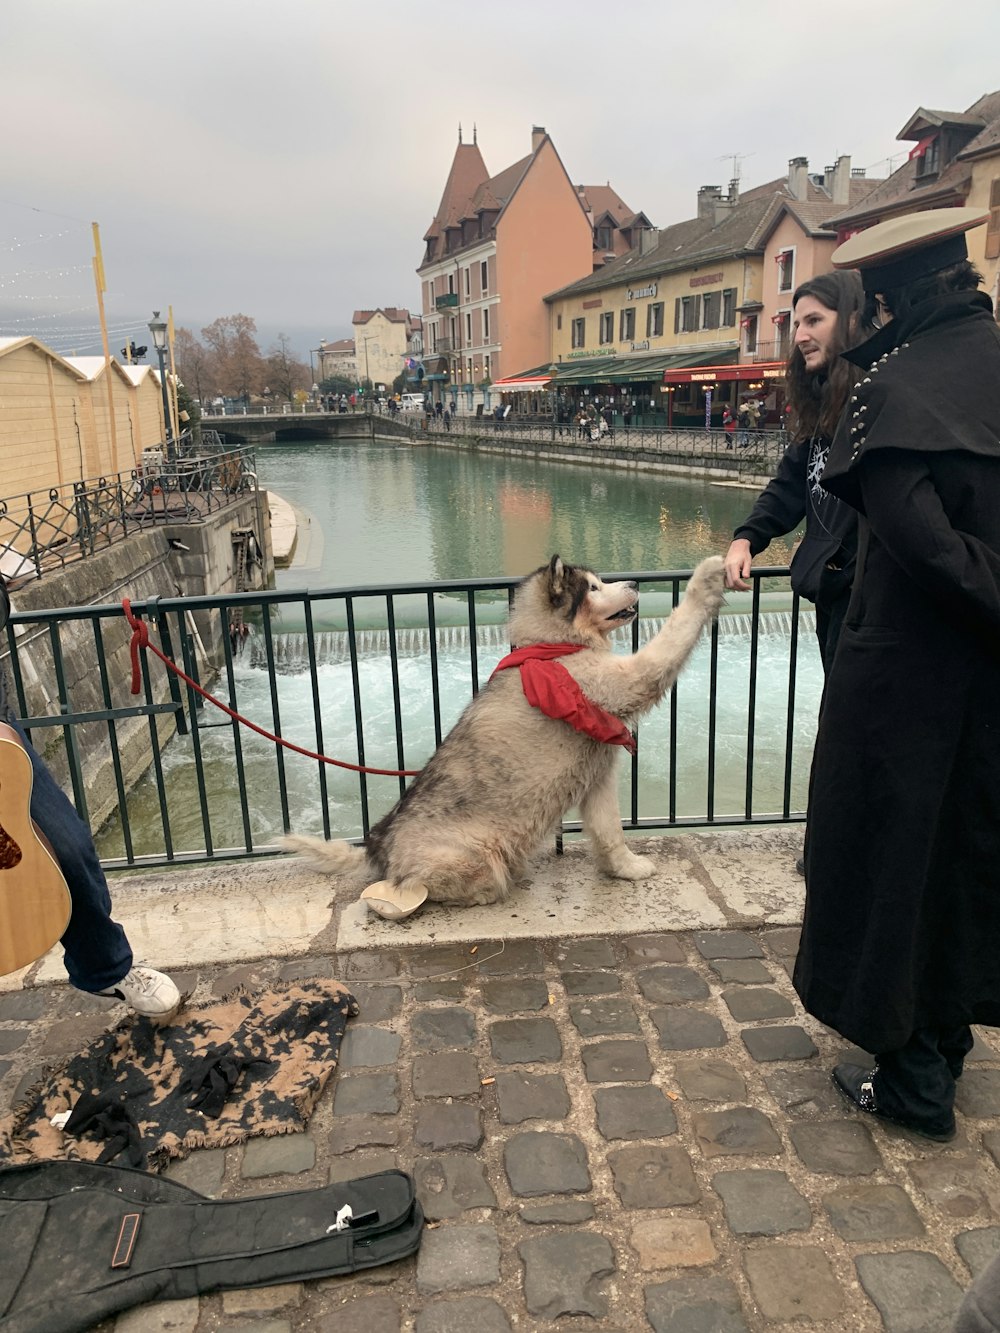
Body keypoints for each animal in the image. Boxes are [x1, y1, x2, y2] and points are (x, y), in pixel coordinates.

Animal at [285, 551, 725, 917]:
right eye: (594, 588)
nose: (633, 583)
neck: (553, 646)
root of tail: (378, 848)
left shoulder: (598, 776)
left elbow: (609, 830)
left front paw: (626, 869)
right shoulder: (630, 679)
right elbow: (673, 632)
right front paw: (706, 577)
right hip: (474, 855)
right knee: (419, 885)